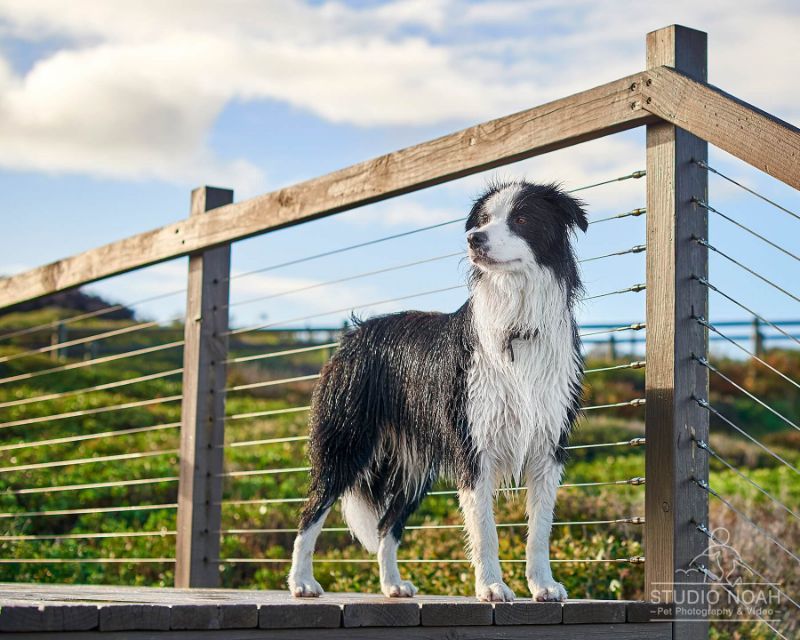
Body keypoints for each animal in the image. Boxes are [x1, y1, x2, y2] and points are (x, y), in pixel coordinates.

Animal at [290, 180, 588, 600]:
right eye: (483, 219)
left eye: (522, 219)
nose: (473, 238)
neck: (517, 324)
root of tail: (355, 334)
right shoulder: (474, 448)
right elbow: (485, 531)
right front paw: (492, 587)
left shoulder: (549, 445)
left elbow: (540, 530)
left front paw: (542, 585)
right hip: (346, 442)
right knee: (311, 511)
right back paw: (301, 581)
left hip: (413, 470)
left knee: (386, 526)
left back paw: (392, 584)